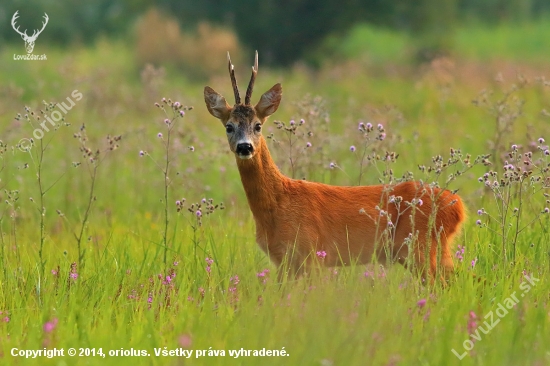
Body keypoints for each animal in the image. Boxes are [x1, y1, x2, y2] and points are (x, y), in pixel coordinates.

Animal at [205, 50, 468, 280]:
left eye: (258, 125)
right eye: (229, 126)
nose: (245, 147)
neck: (278, 203)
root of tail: (458, 206)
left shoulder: (310, 251)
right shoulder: (284, 260)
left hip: (420, 247)